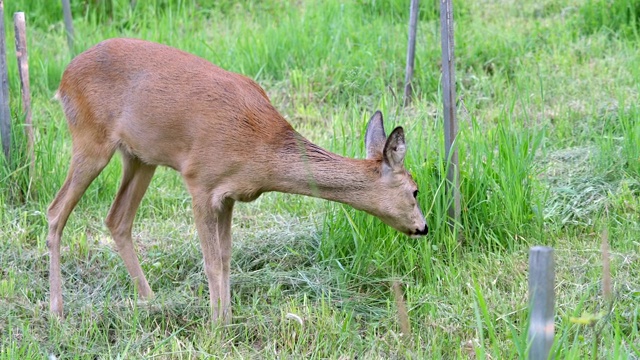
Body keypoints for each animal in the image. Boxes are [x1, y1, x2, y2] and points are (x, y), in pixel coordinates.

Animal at [47, 38, 428, 322]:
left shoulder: (229, 195)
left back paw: (150, 299)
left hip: (139, 157)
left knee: (117, 218)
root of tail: (63, 78)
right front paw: (216, 327)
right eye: (414, 190)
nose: (423, 227)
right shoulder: (199, 180)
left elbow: (228, 257)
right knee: (56, 211)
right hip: (90, 139)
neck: (261, 147)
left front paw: (227, 319)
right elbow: (212, 261)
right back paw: (58, 311)